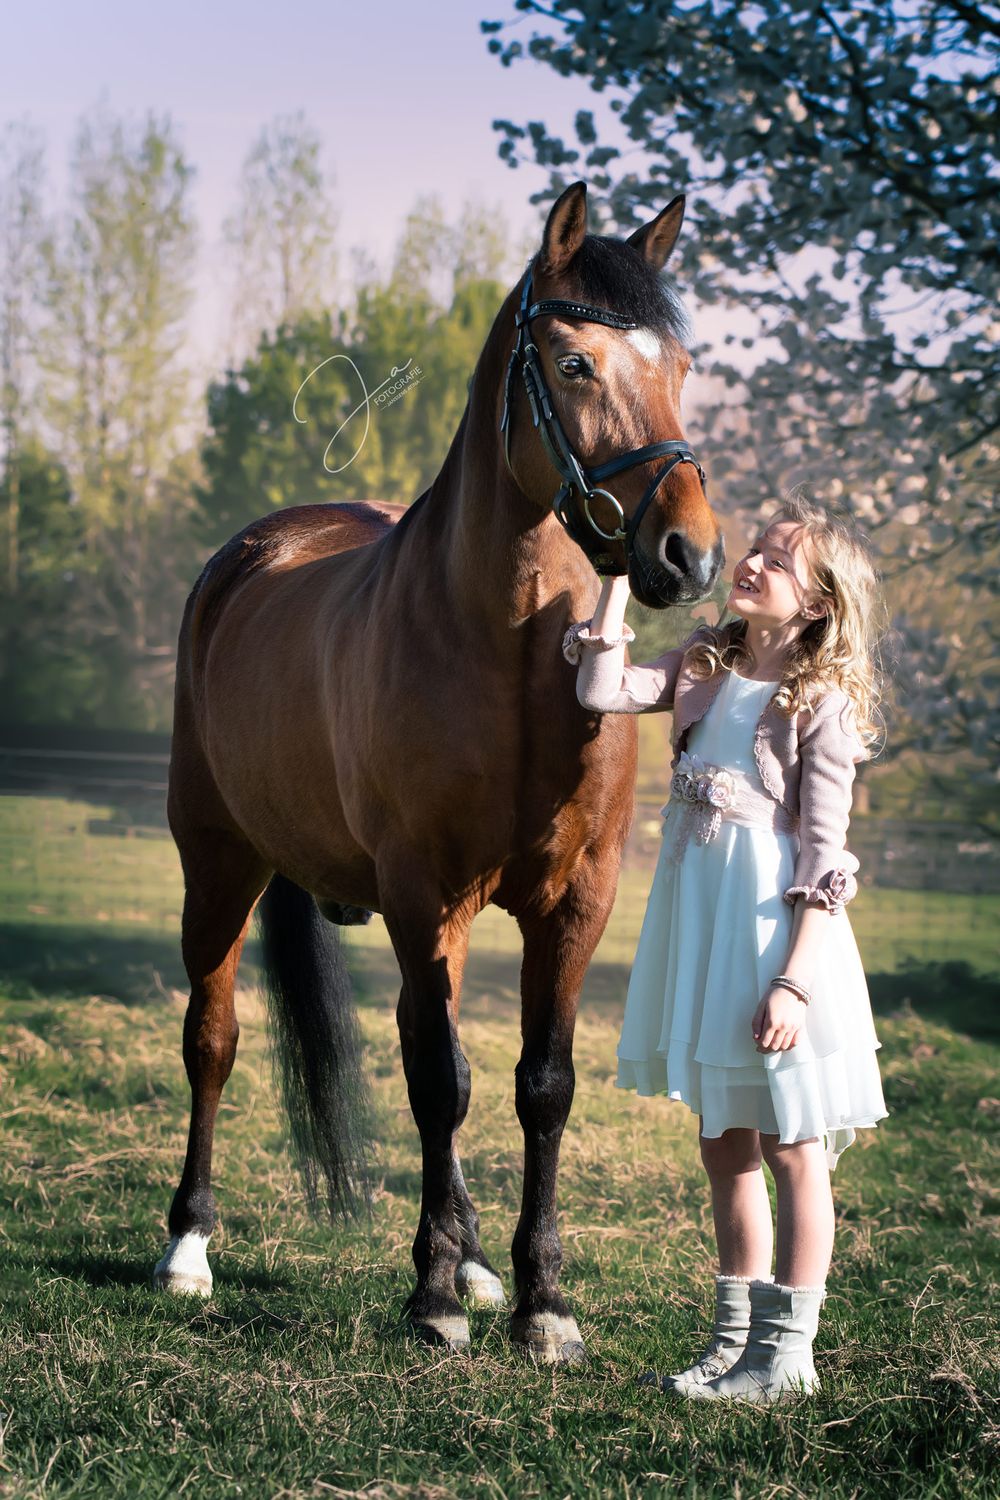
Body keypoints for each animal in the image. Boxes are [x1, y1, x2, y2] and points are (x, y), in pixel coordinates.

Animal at [153, 181, 724, 1363]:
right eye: (574, 364)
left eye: (684, 365)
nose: (689, 554)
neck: (506, 657)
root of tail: (251, 554)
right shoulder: (426, 897)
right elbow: (437, 1083)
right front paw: (430, 1299)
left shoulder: (575, 901)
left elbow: (539, 1086)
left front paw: (540, 1300)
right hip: (219, 866)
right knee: (215, 1041)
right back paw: (189, 1249)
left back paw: (469, 1259)